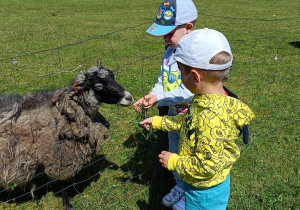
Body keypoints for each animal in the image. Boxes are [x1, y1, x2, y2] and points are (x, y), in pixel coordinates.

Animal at [0, 60, 134, 209]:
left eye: (113, 76)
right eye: (98, 86)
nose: (129, 98)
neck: (64, 110)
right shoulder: (61, 154)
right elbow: (63, 182)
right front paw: (67, 203)